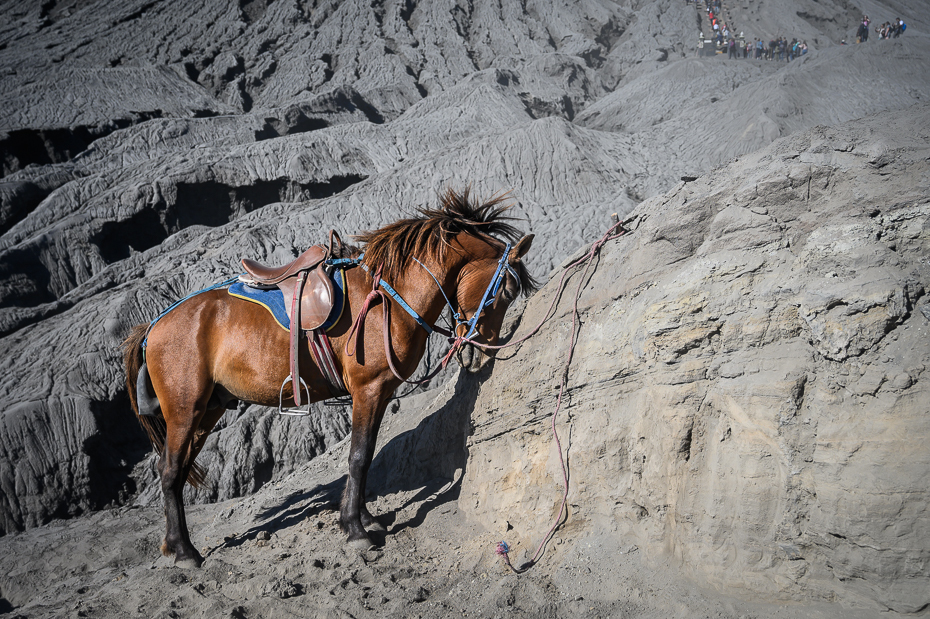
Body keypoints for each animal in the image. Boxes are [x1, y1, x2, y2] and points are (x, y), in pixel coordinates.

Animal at [121, 190, 536, 572]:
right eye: (506, 290)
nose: (480, 354)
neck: (388, 296)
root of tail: (152, 327)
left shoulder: (379, 394)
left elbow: (365, 456)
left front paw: (366, 519)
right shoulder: (368, 389)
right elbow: (358, 456)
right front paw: (355, 529)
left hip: (207, 410)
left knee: (175, 470)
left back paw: (173, 545)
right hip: (185, 409)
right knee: (170, 471)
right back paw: (184, 552)